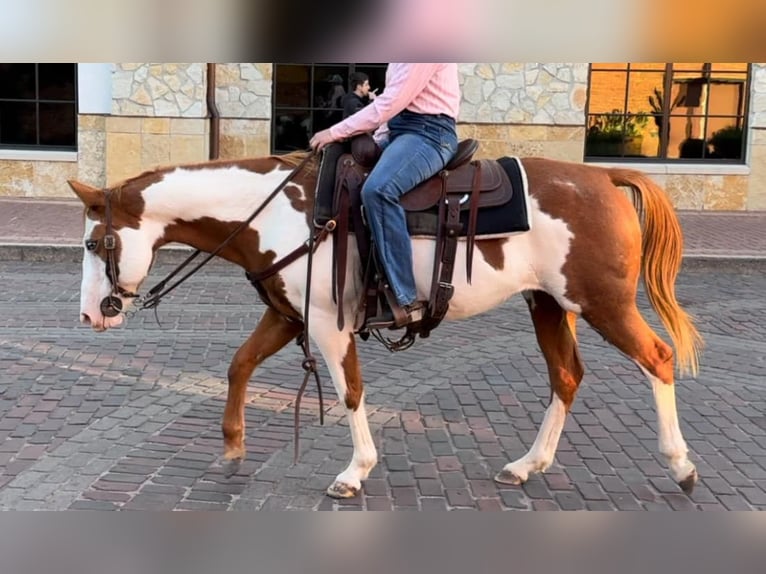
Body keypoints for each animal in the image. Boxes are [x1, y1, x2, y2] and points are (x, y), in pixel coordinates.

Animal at [67, 150, 703, 499]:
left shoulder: (329, 325)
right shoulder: (286, 315)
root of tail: (605, 179)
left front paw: (355, 471)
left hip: (604, 304)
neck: (278, 214)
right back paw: (527, 466)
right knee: (565, 377)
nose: (89, 314)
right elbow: (239, 364)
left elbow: (350, 392)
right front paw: (232, 446)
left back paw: (681, 465)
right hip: (547, 303)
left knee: (658, 359)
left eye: (96, 242)